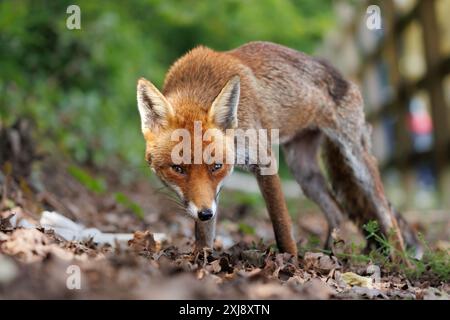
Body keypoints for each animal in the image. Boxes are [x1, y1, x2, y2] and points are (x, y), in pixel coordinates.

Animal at [136, 40, 422, 260]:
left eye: (216, 166)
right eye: (178, 168)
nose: (205, 213)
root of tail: (343, 77)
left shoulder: (264, 161)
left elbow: (282, 225)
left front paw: (292, 263)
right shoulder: (210, 194)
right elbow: (204, 233)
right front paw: (201, 260)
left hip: (358, 164)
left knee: (388, 216)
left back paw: (402, 263)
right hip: (304, 173)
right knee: (336, 212)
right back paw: (331, 254)